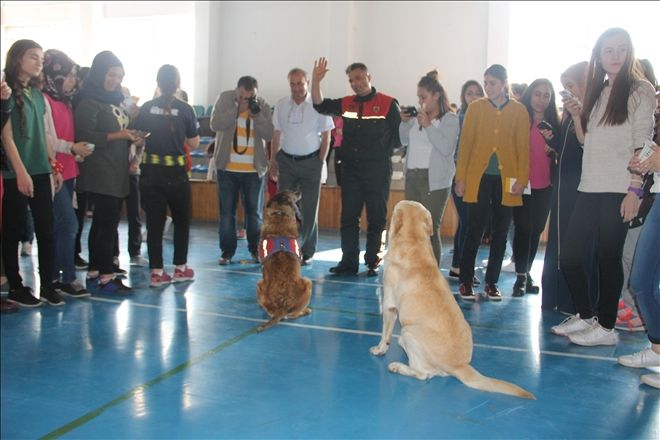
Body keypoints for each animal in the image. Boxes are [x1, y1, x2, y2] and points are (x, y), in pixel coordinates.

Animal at [372, 201, 536, 400]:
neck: (414, 241)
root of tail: (460, 366)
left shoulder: (389, 306)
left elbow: (385, 335)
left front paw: (379, 349)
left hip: (408, 332)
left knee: (423, 374)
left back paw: (398, 366)